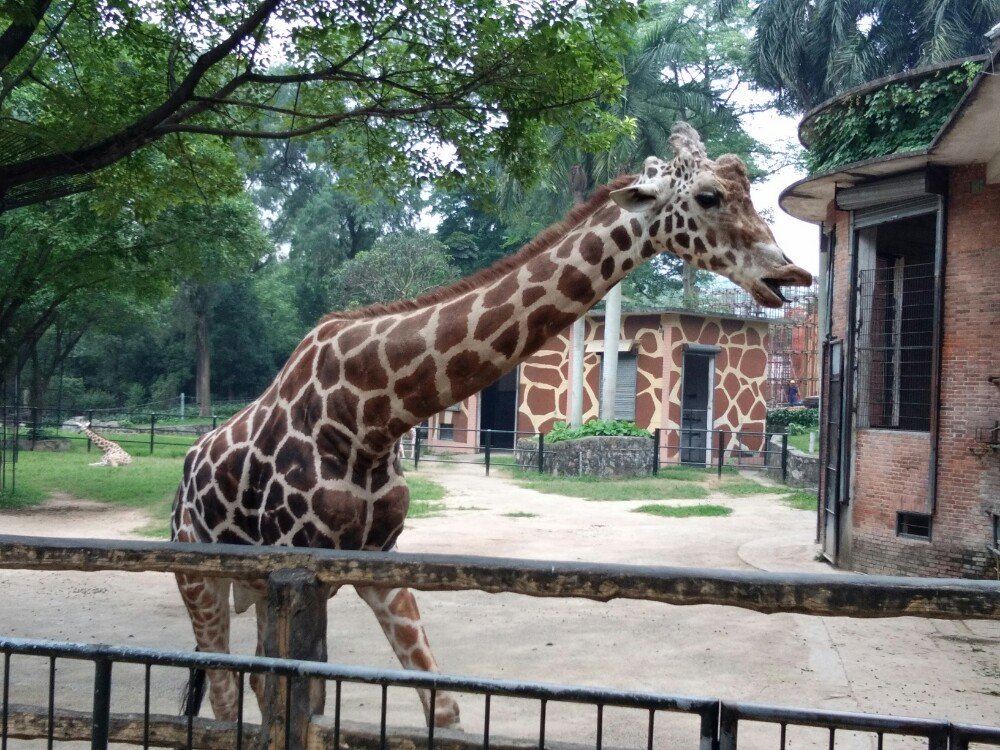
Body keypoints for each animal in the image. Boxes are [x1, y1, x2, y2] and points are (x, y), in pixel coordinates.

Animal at [172, 122, 812, 728]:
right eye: (708, 196)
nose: (791, 273)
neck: (369, 416)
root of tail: (184, 475)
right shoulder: (296, 559)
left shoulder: (377, 560)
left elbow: (438, 707)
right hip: (199, 573)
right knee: (223, 689)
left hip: (253, 585)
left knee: (249, 685)